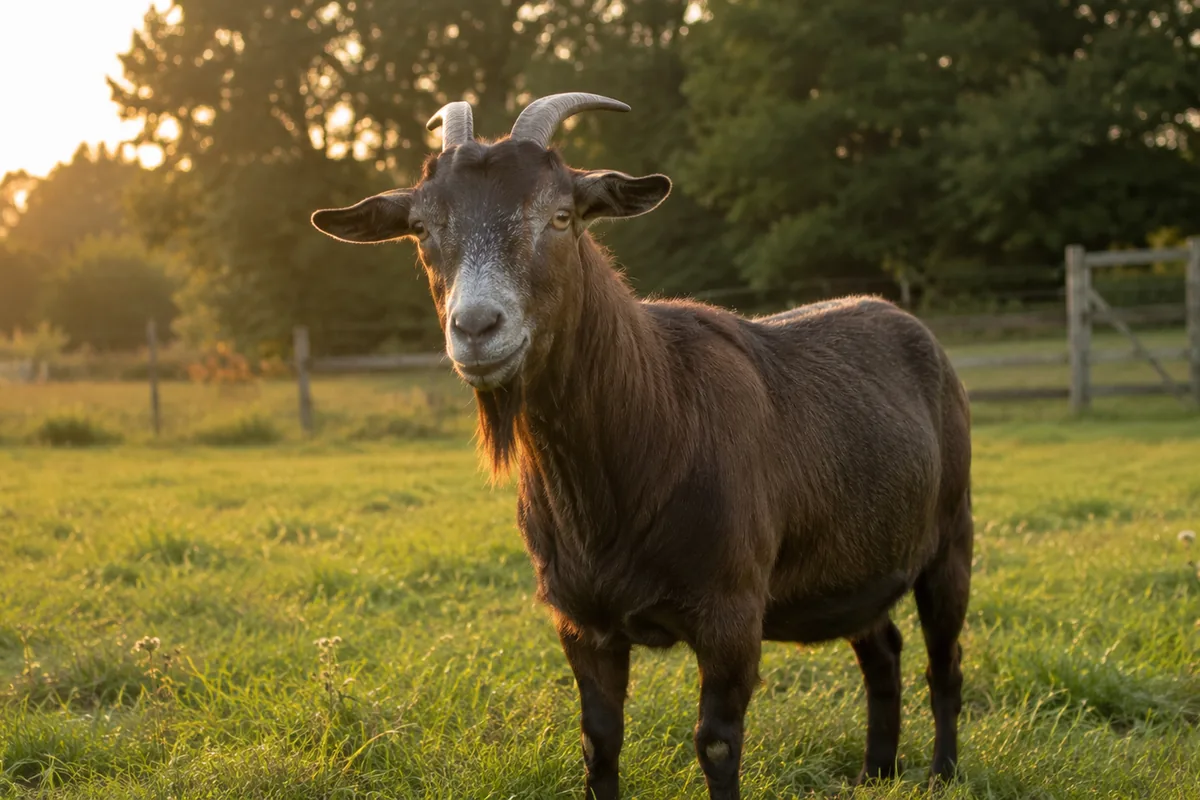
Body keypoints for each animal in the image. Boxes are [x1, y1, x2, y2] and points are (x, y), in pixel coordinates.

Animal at [311, 93, 973, 800]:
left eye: (562, 215)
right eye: (422, 227)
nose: (477, 327)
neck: (654, 425)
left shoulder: (732, 612)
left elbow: (716, 743)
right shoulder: (580, 620)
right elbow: (598, 741)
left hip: (951, 539)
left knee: (944, 664)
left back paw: (942, 773)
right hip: (860, 562)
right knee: (882, 650)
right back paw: (877, 772)